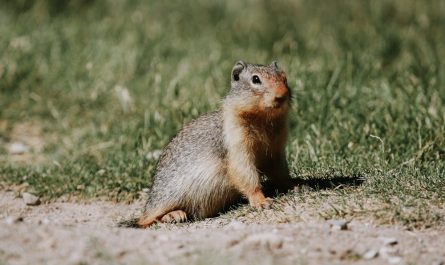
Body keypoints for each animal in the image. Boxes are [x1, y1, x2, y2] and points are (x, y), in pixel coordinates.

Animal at [137, 60, 294, 227]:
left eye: (284, 77)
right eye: (255, 79)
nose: (282, 95)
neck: (263, 119)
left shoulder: (276, 150)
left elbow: (279, 171)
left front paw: (294, 185)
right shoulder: (236, 143)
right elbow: (244, 172)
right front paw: (261, 201)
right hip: (165, 197)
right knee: (145, 220)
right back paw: (173, 215)